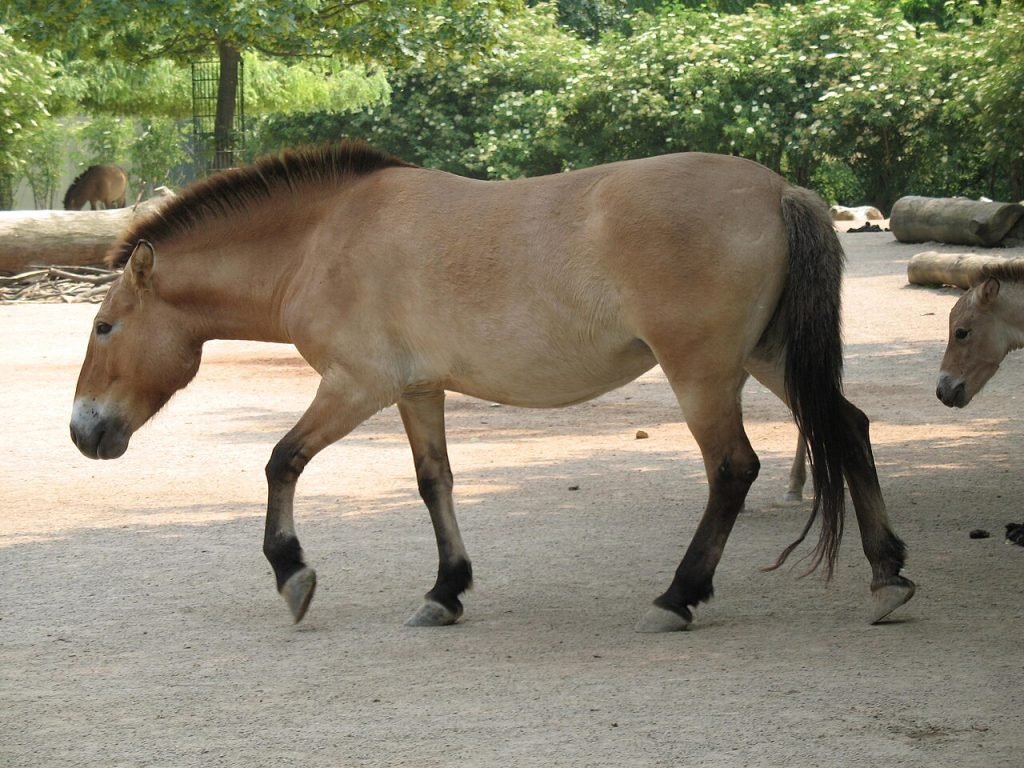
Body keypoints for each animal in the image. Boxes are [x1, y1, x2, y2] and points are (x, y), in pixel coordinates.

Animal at [69, 142, 915, 632]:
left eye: (104, 326)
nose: (84, 430)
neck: (321, 239)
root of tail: (781, 192)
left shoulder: (356, 385)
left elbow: (282, 462)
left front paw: (293, 574)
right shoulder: (417, 391)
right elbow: (434, 482)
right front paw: (446, 590)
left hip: (704, 373)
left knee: (734, 469)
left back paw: (679, 595)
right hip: (770, 358)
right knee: (849, 428)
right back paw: (886, 575)